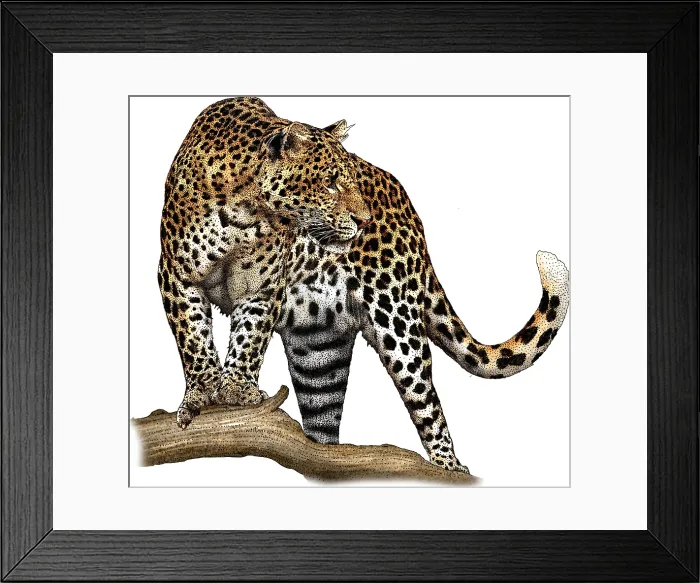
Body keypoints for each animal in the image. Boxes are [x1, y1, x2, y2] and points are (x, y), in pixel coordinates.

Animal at [158, 96, 570, 473]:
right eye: (330, 182)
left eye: (350, 180)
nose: (365, 219)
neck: (246, 209)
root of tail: (411, 214)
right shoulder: (175, 276)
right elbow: (194, 339)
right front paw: (204, 391)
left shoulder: (263, 288)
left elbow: (249, 339)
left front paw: (235, 388)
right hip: (319, 353)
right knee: (323, 417)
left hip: (398, 322)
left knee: (427, 403)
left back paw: (448, 465)